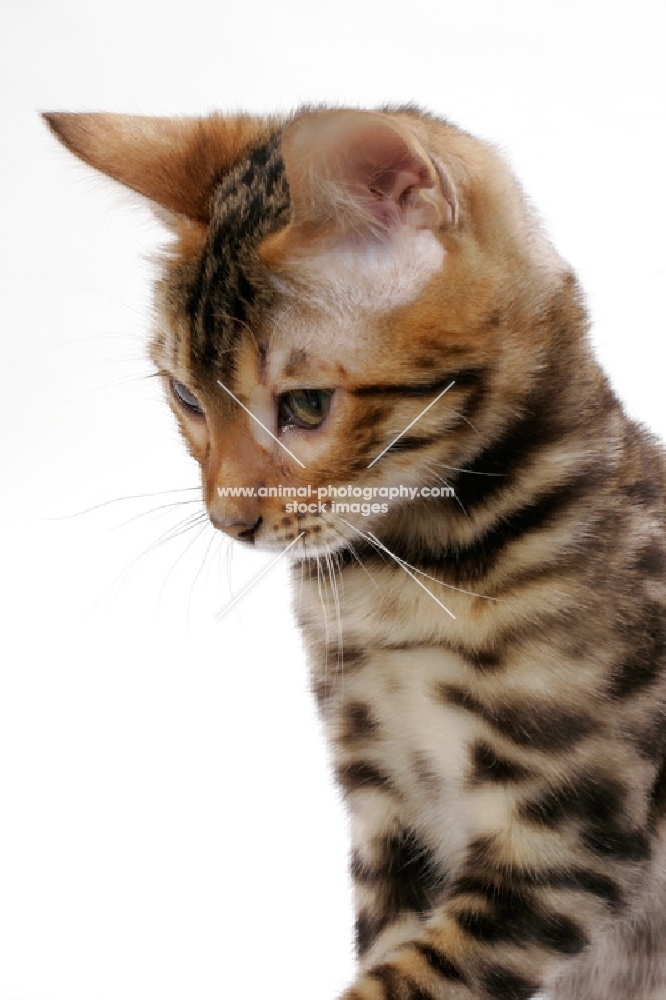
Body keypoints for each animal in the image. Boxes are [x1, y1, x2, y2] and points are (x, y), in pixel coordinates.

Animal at [45, 105, 664, 996]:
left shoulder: (568, 830)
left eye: (306, 405)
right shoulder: (388, 806)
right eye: (187, 396)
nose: (227, 520)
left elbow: (411, 978)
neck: (411, 574)